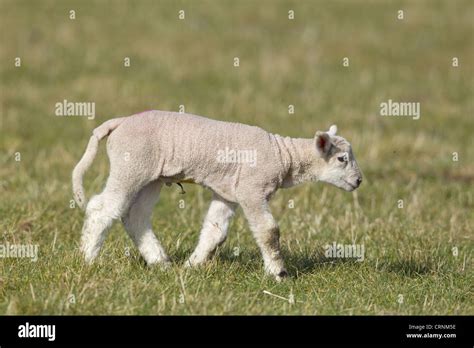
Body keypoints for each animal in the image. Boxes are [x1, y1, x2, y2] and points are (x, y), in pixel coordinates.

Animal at [71, 110, 362, 282]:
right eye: (342, 159)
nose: (359, 181)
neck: (284, 156)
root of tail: (120, 121)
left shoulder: (228, 193)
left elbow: (215, 232)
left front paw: (192, 266)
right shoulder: (251, 189)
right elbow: (269, 231)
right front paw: (279, 273)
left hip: (151, 178)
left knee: (135, 217)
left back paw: (161, 263)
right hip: (131, 165)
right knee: (102, 208)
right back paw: (87, 259)